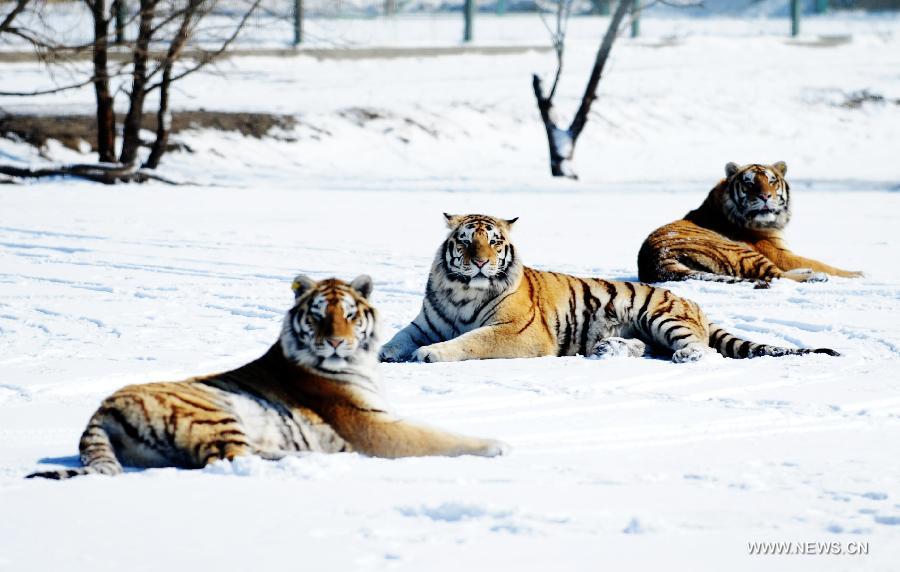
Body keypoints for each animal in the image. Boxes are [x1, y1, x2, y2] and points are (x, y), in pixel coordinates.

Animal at [26, 274, 506, 480]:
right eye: (318, 315)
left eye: (350, 314)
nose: (337, 342)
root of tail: (99, 410)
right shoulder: (373, 424)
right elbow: (436, 437)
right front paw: (496, 445)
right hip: (215, 410)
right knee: (229, 458)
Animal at [376, 212, 840, 364]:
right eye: (465, 241)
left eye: (493, 242)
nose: (480, 261)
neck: (463, 291)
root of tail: (694, 303)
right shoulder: (426, 321)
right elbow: (398, 336)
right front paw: (382, 352)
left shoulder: (517, 333)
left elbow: (470, 340)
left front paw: (430, 354)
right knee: (646, 348)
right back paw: (608, 349)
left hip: (659, 315)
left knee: (700, 349)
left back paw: (684, 357)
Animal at [636, 161, 860, 286]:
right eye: (749, 182)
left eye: (771, 181)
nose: (765, 196)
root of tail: (655, 262)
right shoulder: (778, 252)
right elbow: (821, 263)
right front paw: (857, 274)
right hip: (739, 250)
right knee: (775, 276)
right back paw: (816, 277)